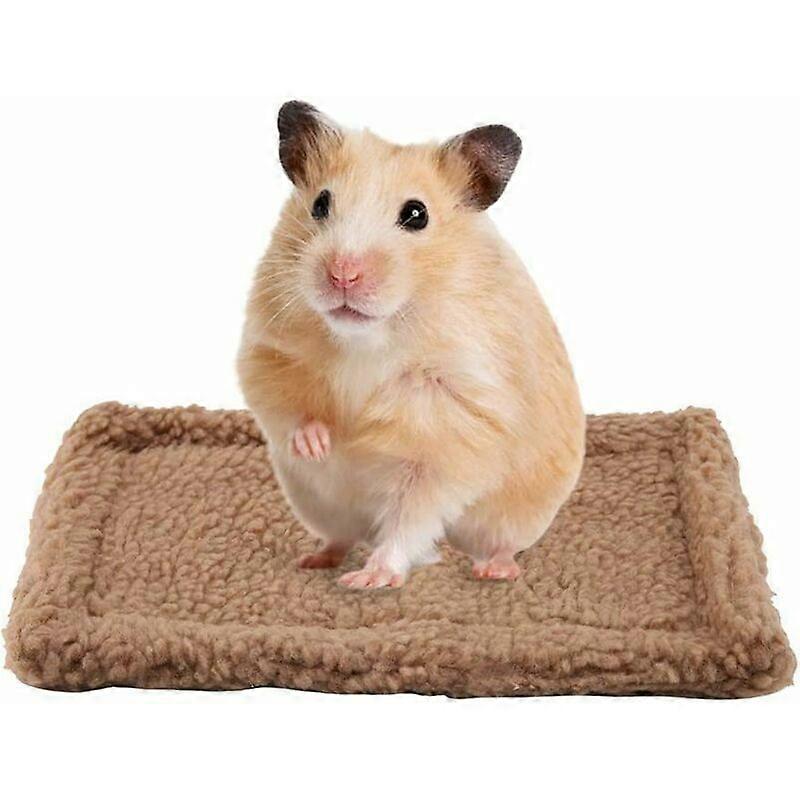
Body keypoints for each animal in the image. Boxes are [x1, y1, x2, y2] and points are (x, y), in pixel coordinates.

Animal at [238, 101, 585, 589]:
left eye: (417, 214)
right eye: (320, 203)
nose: (343, 274)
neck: (368, 338)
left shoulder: (452, 430)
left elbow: (410, 515)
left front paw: (370, 579)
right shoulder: (266, 350)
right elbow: (286, 405)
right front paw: (320, 445)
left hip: (518, 512)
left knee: (492, 542)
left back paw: (493, 571)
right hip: (318, 503)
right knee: (343, 535)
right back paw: (316, 559)